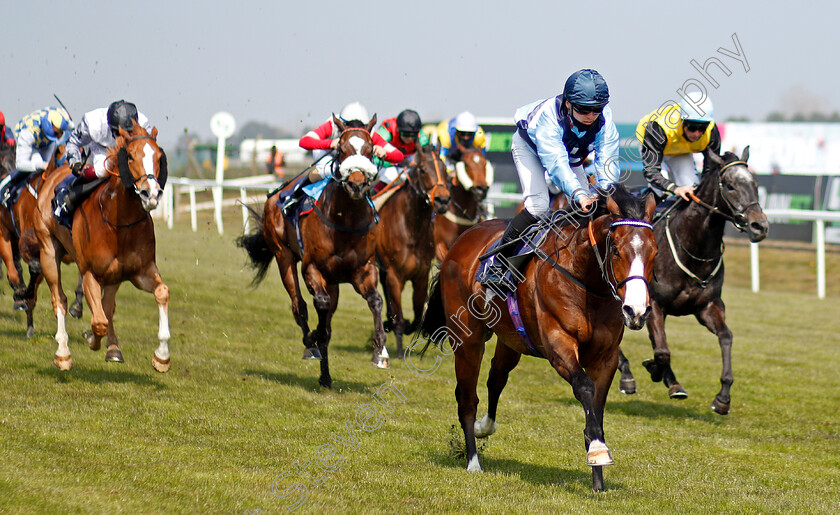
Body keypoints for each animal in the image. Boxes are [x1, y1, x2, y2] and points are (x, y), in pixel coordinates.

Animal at [35, 123, 171, 372]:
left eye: (158, 156)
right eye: (130, 156)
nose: (151, 194)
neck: (119, 223)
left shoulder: (141, 271)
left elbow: (162, 292)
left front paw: (162, 356)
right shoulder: (90, 272)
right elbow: (99, 322)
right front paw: (89, 338)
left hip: (114, 275)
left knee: (107, 306)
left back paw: (113, 348)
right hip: (48, 250)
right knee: (59, 299)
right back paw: (63, 353)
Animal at [238, 115, 388, 390]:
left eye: (370, 150)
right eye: (341, 150)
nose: (357, 185)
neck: (345, 221)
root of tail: (275, 193)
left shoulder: (363, 269)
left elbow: (375, 300)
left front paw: (380, 350)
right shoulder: (312, 267)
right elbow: (320, 306)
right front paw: (315, 337)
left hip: (334, 281)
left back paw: (325, 376)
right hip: (283, 256)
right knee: (299, 305)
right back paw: (311, 343)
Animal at [376, 143, 450, 356]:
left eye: (445, 170)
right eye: (423, 170)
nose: (443, 200)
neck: (411, 228)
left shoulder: (421, 276)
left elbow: (417, 317)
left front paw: (405, 325)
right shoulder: (395, 275)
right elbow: (400, 316)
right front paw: (400, 350)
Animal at [416, 185, 660, 492]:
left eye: (654, 251)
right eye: (616, 249)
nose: (636, 311)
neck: (585, 280)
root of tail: (462, 240)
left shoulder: (606, 357)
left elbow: (596, 407)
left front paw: (598, 478)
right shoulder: (558, 343)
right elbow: (584, 387)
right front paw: (597, 451)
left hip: (510, 340)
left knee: (496, 378)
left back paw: (485, 427)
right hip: (467, 338)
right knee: (467, 397)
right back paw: (472, 461)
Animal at [616, 146, 768, 416]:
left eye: (755, 184)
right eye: (730, 186)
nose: (760, 225)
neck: (693, 247)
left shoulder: (708, 306)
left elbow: (726, 337)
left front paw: (723, 397)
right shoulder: (654, 305)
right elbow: (662, 352)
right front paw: (655, 370)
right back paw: (627, 375)